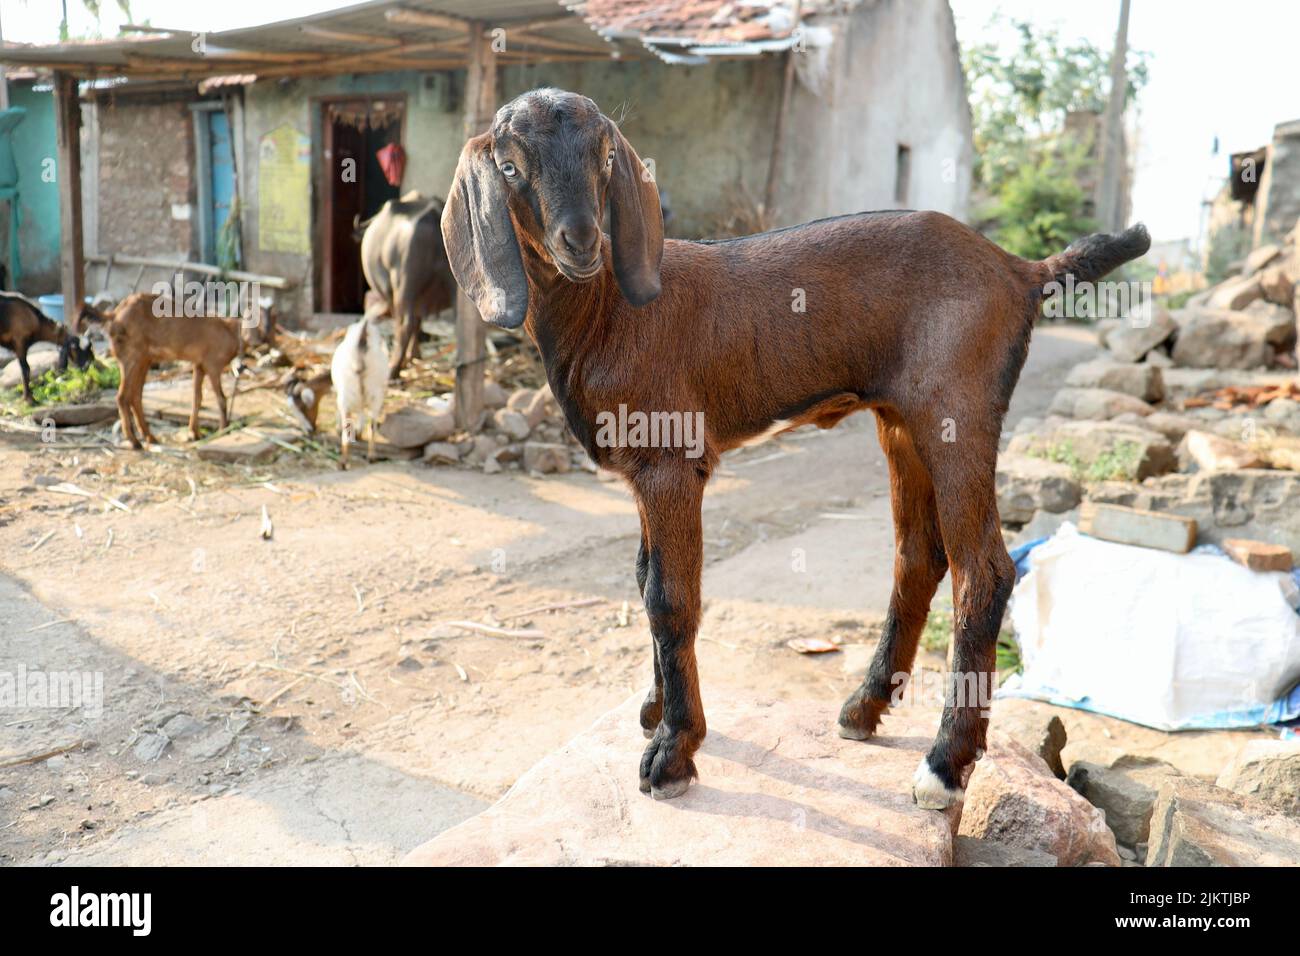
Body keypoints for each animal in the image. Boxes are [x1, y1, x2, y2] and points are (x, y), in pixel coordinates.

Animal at [81, 293, 242, 449]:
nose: (240, 367)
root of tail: (114, 315)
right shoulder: (212, 365)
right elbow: (221, 398)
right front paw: (223, 431)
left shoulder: (199, 365)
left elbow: (197, 398)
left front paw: (194, 433)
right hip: (132, 359)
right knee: (122, 397)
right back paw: (134, 441)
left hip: (143, 361)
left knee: (135, 397)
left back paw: (149, 437)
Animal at [330, 313, 389, 468]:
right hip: (375, 394)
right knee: (372, 424)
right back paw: (371, 456)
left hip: (346, 394)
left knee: (347, 426)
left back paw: (343, 461)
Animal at [442, 88, 1151, 808]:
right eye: (508, 165)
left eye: (607, 156)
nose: (581, 241)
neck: (607, 311)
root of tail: (1018, 269)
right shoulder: (642, 474)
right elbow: (644, 580)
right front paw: (656, 710)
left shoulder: (671, 464)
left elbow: (670, 598)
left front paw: (672, 753)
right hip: (902, 421)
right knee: (918, 557)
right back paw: (864, 708)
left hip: (959, 409)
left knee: (984, 572)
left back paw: (944, 764)